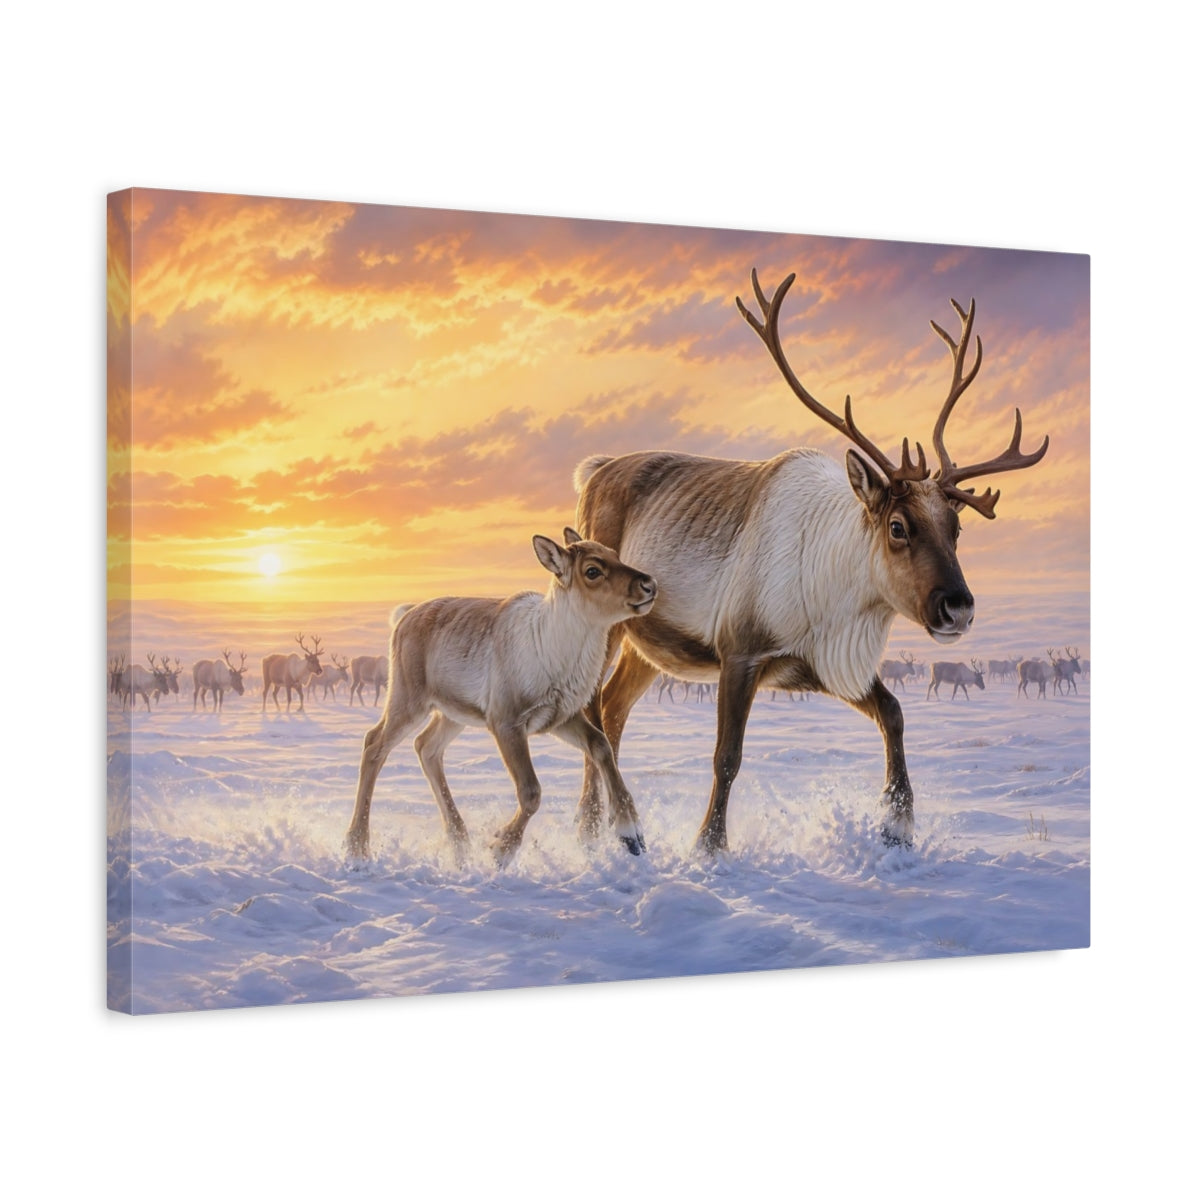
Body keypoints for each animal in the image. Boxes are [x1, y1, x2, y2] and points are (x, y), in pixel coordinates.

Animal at [344, 530, 657, 866]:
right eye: (592, 571)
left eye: (615, 554)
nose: (649, 584)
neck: (555, 649)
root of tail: (403, 616)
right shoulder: (506, 721)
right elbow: (531, 791)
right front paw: (500, 849)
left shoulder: (561, 717)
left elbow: (601, 746)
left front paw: (632, 835)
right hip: (409, 699)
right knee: (374, 744)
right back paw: (357, 848)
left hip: (453, 712)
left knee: (426, 747)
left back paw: (460, 843)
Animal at [572, 269, 1049, 853]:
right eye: (897, 527)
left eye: (956, 528)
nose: (958, 607)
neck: (838, 595)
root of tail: (594, 470)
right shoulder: (740, 650)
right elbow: (726, 757)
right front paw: (709, 846)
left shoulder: (824, 664)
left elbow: (894, 713)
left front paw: (897, 825)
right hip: (606, 623)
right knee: (592, 709)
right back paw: (592, 829)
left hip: (651, 643)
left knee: (612, 708)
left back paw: (601, 831)